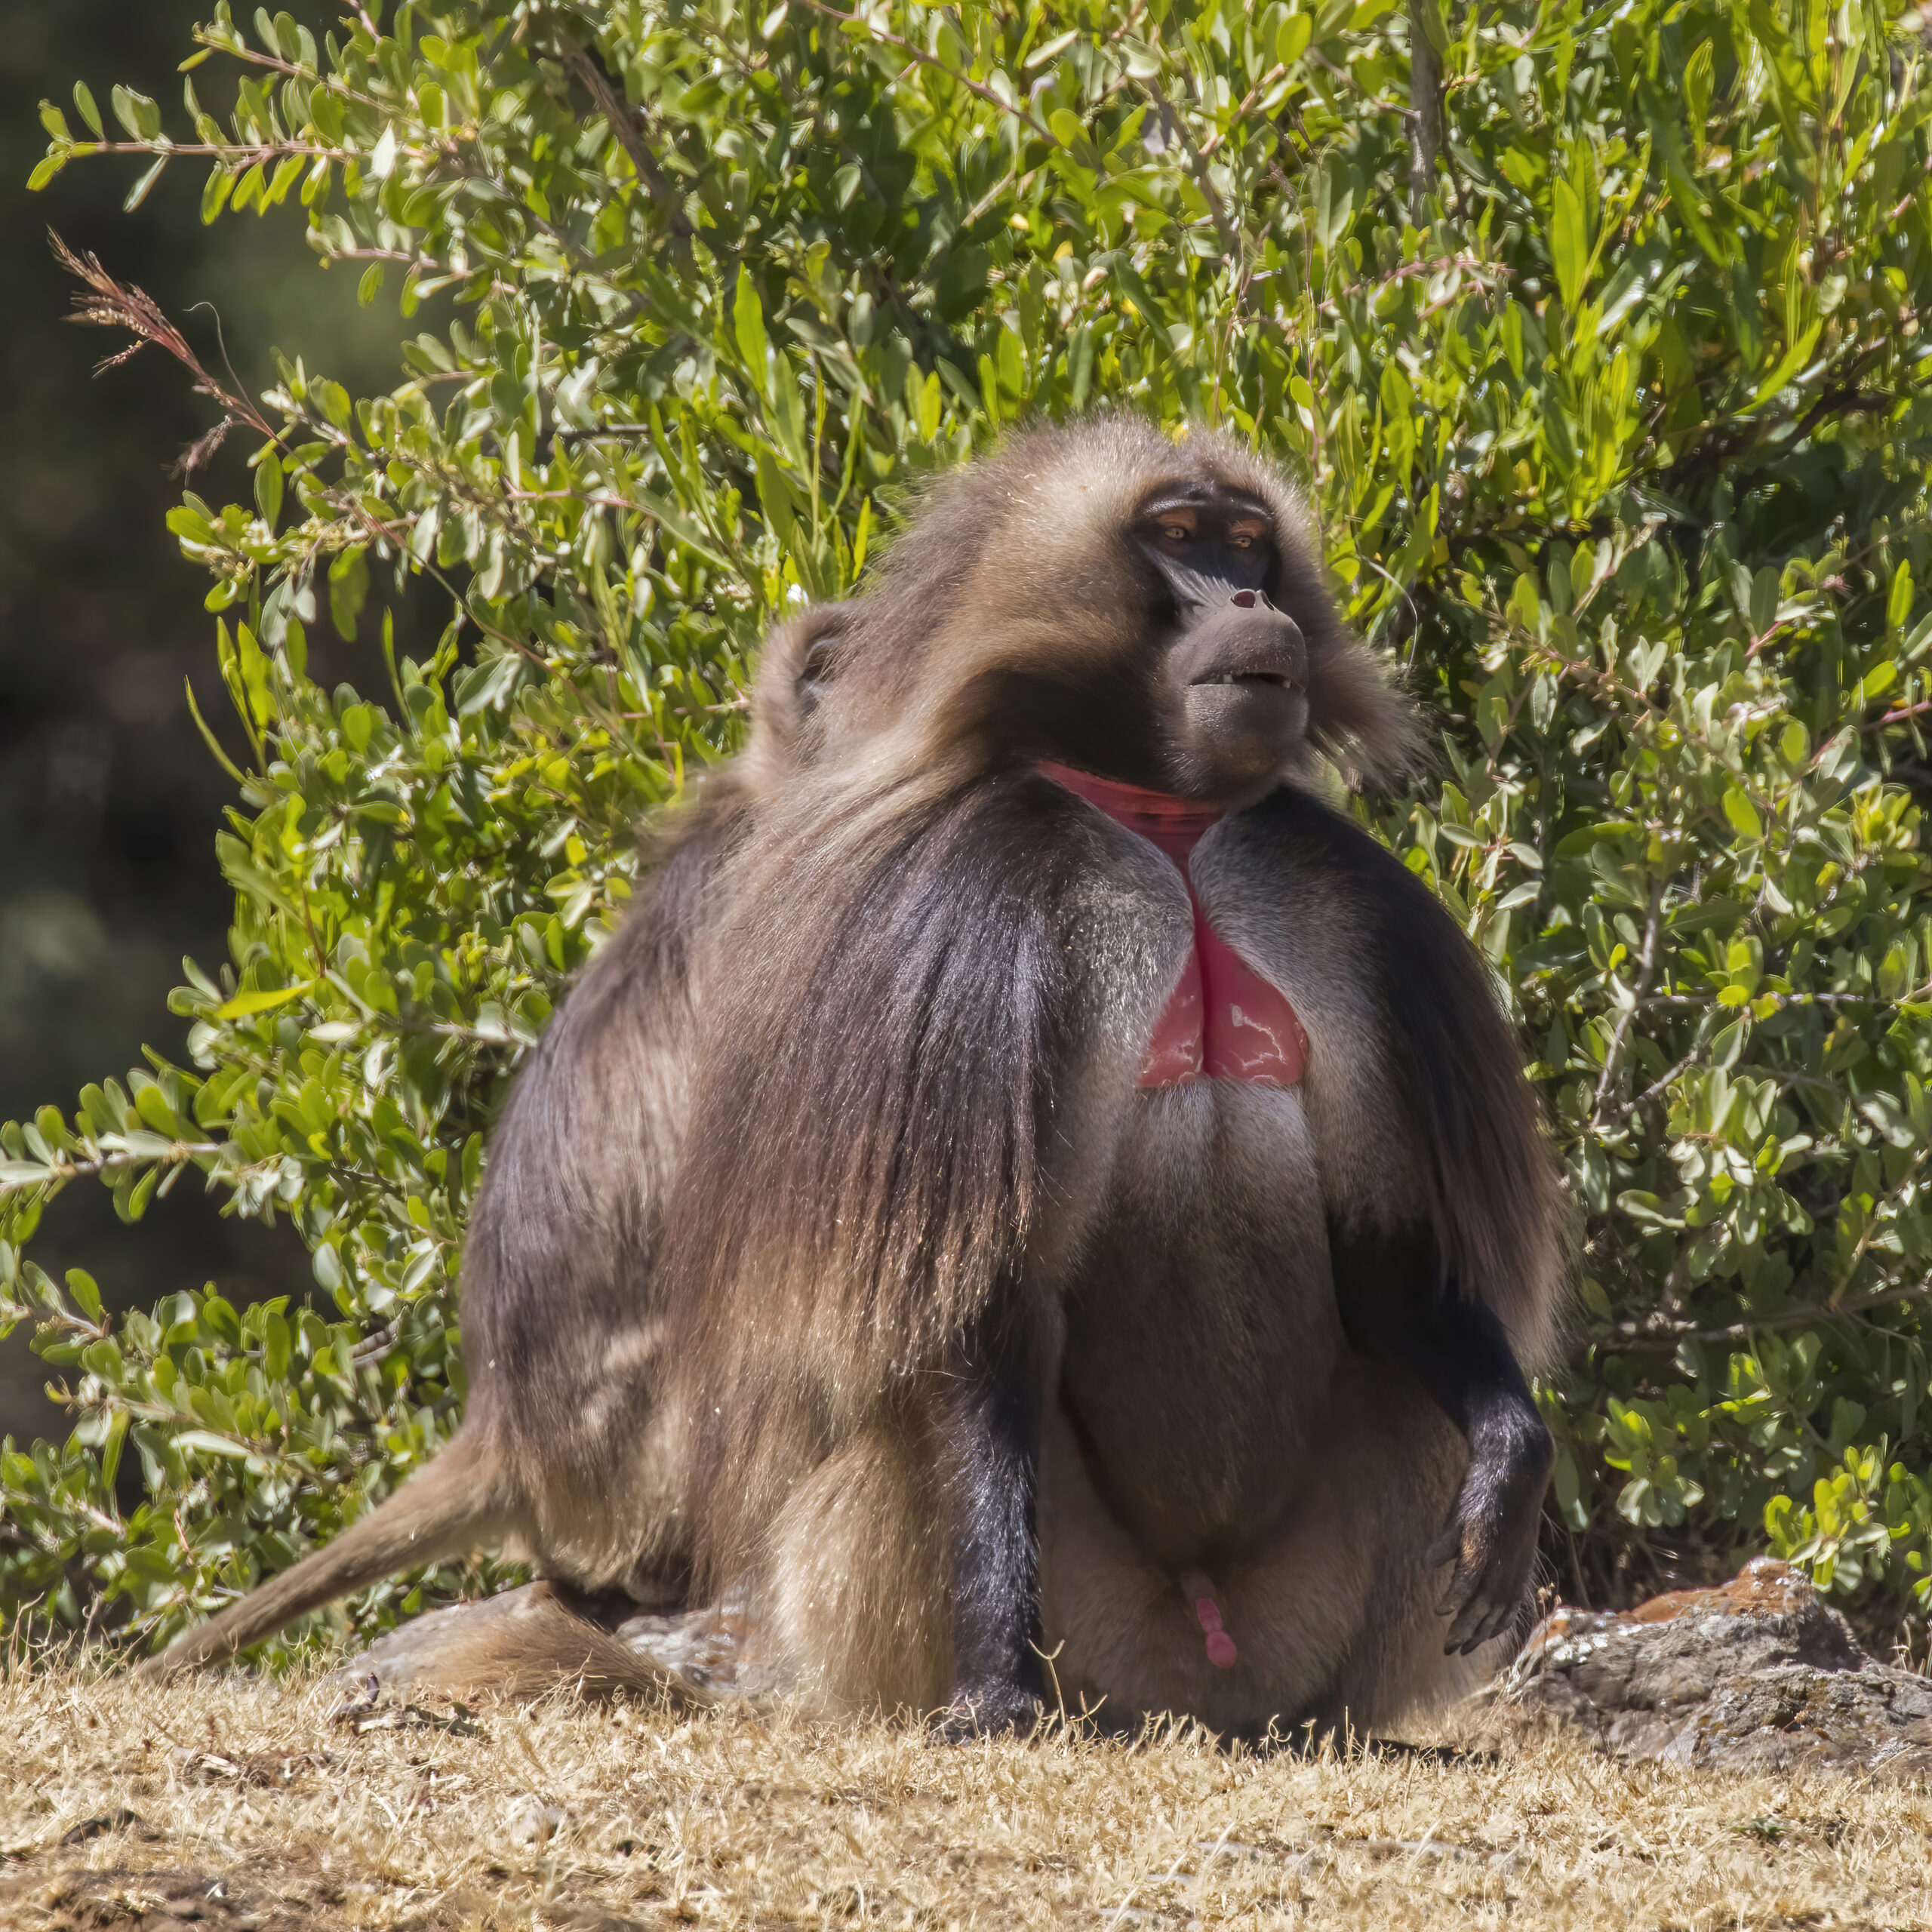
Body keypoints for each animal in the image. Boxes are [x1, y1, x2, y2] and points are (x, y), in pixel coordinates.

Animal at [143, 417, 1564, 1744]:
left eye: (1249, 543)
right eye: (1179, 537)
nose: (1250, 607)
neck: (1166, 834)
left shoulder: (1332, 909)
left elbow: (1384, 1257)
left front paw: (1511, 1457)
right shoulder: (960, 923)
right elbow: (977, 1304)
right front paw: (989, 1687)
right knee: (892, 1374)